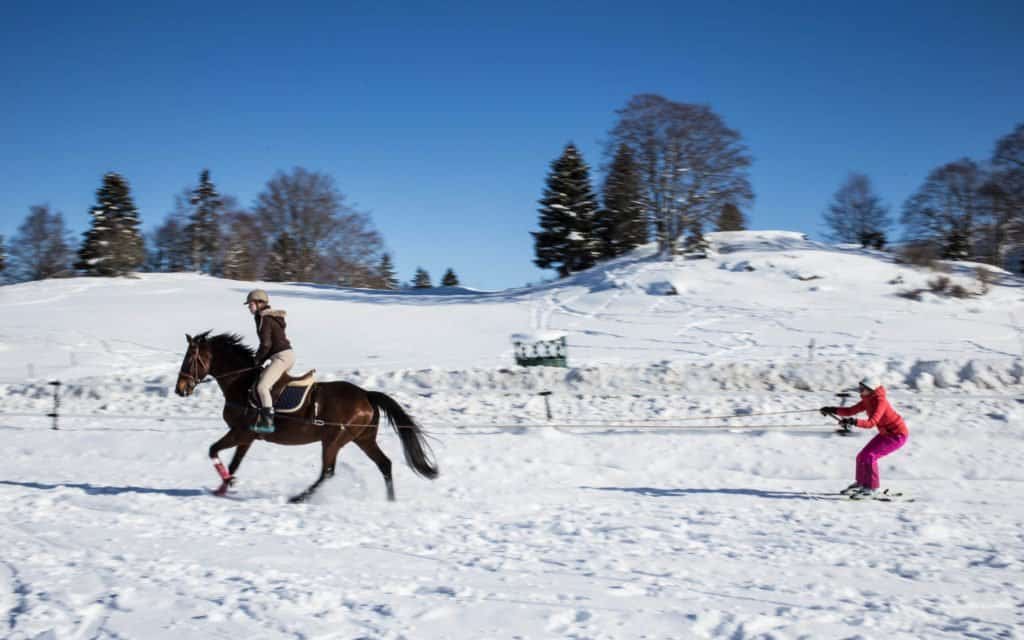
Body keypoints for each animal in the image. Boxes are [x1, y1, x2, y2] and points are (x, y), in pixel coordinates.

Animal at [175, 331, 436, 501]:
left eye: (189, 359)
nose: (180, 389)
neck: (241, 382)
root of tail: (366, 395)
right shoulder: (247, 438)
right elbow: (233, 463)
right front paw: (223, 488)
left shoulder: (240, 432)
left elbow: (213, 450)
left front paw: (228, 483)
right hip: (362, 439)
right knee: (384, 464)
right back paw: (390, 501)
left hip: (333, 440)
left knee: (328, 472)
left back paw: (299, 498)